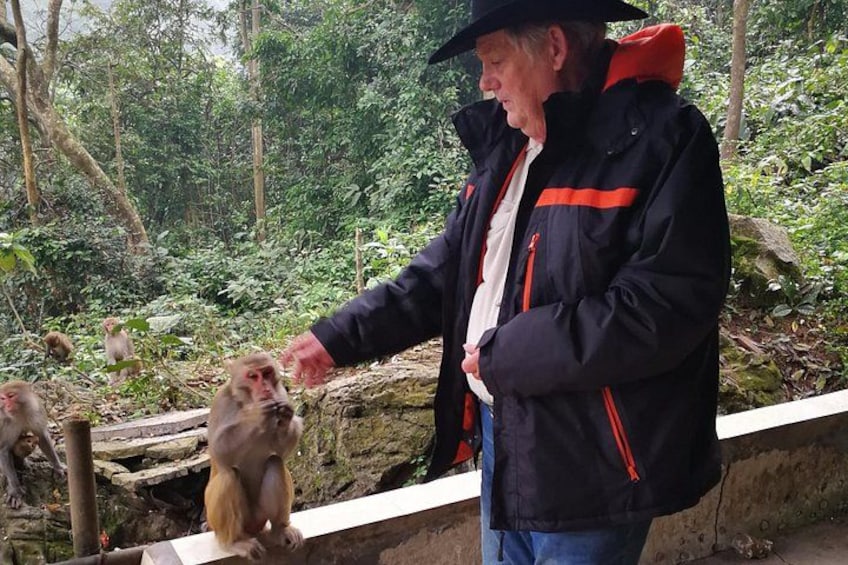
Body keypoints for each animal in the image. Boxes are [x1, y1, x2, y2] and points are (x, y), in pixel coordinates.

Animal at [0, 381, 66, 509]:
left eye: (11, 396)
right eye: (2, 399)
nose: (6, 406)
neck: (19, 412)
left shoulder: (35, 410)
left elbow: (42, 436)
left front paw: (58, 467)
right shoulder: (4, 422)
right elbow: (4, 450)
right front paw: (15, 491)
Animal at [204, 352, 304, 560]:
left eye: (266, 373)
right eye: (252, 376)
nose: (265, 387)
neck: (246, 401)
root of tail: (252, 528)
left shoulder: (280, 394)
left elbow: (281, 452)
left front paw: (286, 416)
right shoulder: (221, 401)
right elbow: (219, 450)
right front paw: (257, 415)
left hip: (260, 516)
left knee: (275, 462)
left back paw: (279, 530)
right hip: (219, 521)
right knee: (228, 476)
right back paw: (232, 542)